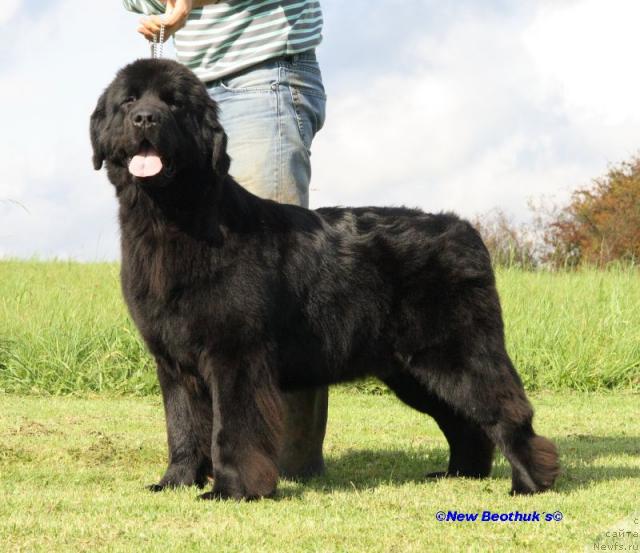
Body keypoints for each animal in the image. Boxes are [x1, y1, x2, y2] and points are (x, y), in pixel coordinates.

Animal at [92, 58, 556, 498]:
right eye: (128, 102)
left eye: (174, 104)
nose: (145, 119)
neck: (170, 220)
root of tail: (465, 230)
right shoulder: (174, 362)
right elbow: (183, 426)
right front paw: (175, 482)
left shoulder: (235, 355)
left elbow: (232, 429)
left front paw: (233, 489)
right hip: (413, 372)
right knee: (463, 422)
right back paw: (459, 473)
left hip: (456, 354)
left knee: (506, 411)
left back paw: (530, 483)